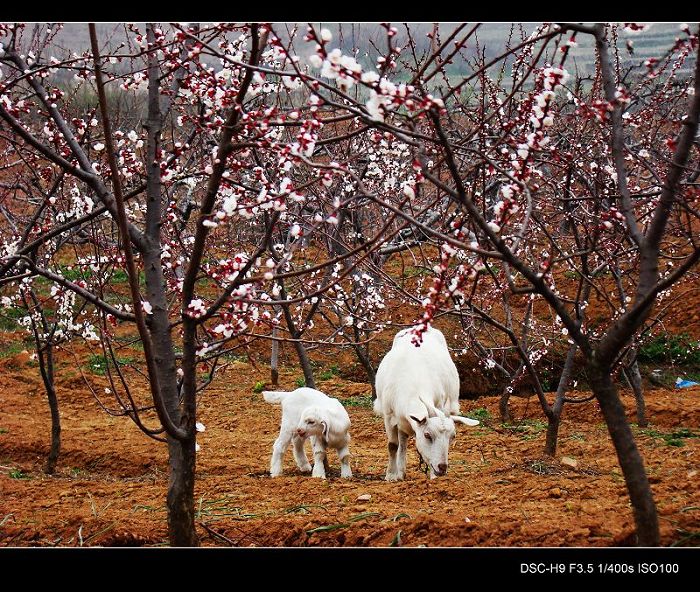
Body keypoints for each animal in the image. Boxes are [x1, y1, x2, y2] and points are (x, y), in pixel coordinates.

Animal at [374, 326, 478, 478]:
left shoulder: (439, 405)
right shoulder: (388, 415)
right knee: (402, 442)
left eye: (453, 436)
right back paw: (400, 472)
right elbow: (392, 445)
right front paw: (391, 475)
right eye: (427, 435)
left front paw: (433, 476)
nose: (442, 467)